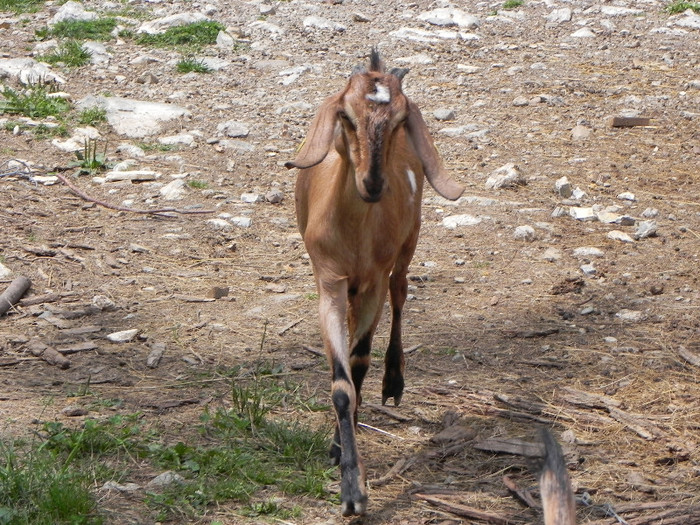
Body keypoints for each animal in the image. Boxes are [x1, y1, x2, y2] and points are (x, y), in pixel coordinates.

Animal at [284, 51, 464, 512]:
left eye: (401, 119)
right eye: (345, 115)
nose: (374, 182)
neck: (355, 235)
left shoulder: (373, 285)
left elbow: (361, 362)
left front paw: (351, 480)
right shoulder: (328, 281)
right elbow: (342, 384)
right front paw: (347, 477)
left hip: (409, 239)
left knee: (401, 293)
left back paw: (393, 382)